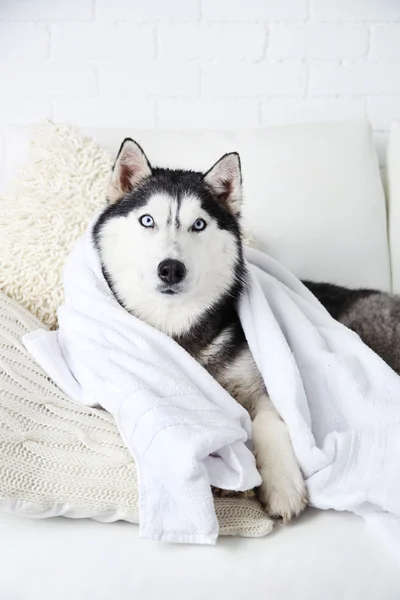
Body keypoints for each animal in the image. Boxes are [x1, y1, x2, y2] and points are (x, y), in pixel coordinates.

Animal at [92, 138, 400, 524]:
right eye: (147, 220)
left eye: (199, 224)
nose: (171, 269)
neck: (178, 326)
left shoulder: (262, 383)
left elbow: (272, 421)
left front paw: (281, 484)